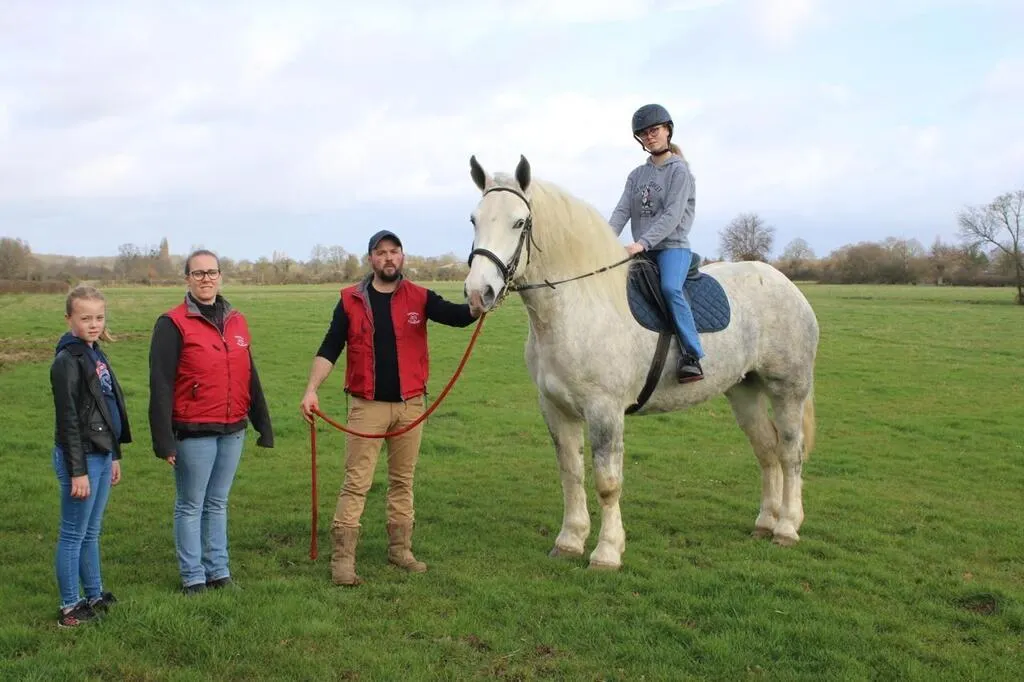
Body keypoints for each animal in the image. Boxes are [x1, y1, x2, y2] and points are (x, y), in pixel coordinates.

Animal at [462, 155, 819, 570]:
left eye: (519, 222)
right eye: (474, 219)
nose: (478, 293)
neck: (578, 306)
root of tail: (785, 284)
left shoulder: (605, 411)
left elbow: (607, 483)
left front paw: (606, 552)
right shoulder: (555, 409)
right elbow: (571, 474)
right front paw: (570, 540)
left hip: (787, 390)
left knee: (790, 453)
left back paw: (787, 527)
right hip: (743, 392)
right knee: (766, 450)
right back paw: (766, 522)